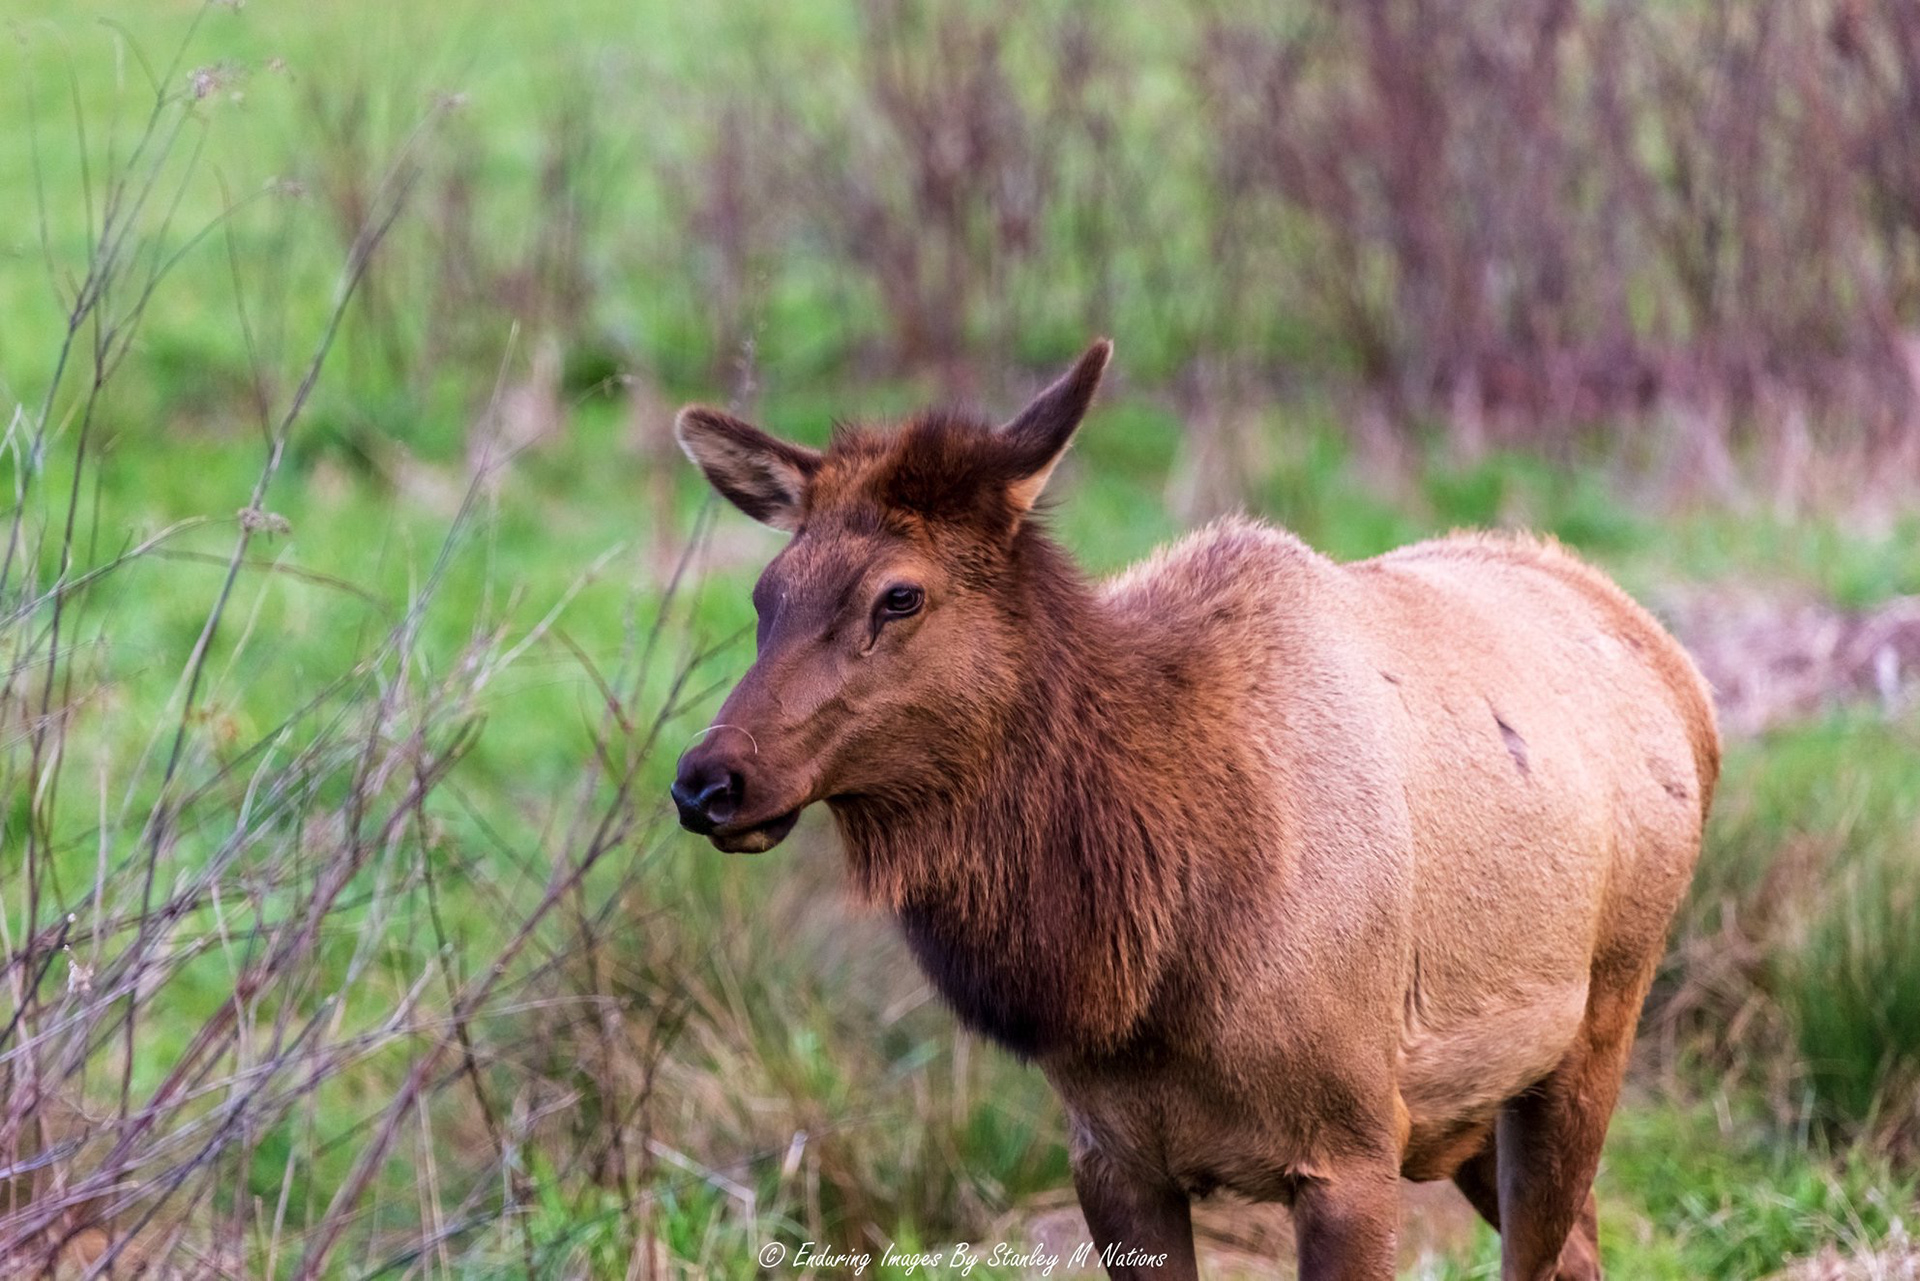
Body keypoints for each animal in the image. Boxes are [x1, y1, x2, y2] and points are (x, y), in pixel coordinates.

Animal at [670, 340, 1719, 1280]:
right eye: (765, 593)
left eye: (899, 596)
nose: (707, 780)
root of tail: (1681, 675)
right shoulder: (1112, 1155)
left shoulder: (1354, 1142)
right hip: (1473, 1106)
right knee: (1582, 1244)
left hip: (1597, 1020)